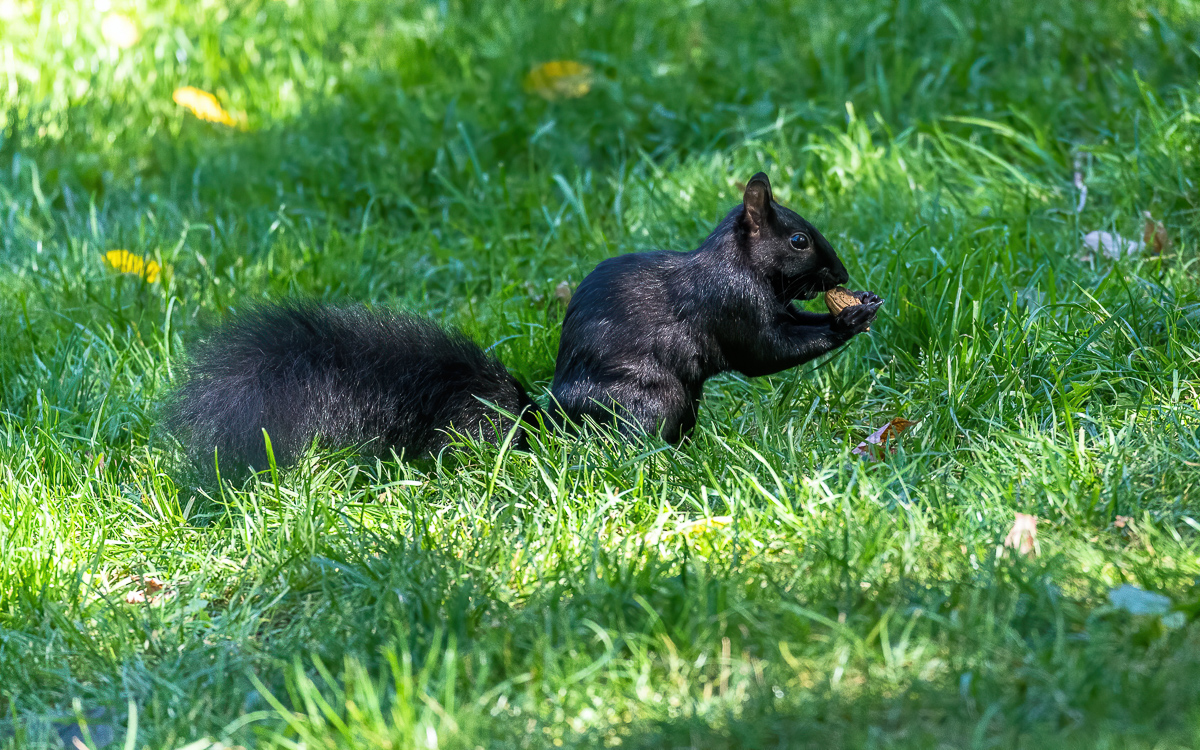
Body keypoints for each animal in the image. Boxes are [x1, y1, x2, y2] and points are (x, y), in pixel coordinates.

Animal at [166, 172, 883, 470]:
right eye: (798, 240)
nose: (842, 271)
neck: (734, 260)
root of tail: (550, 423)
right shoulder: (732, 305)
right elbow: (767, 349)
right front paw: (848, 321)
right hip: (650, 398)